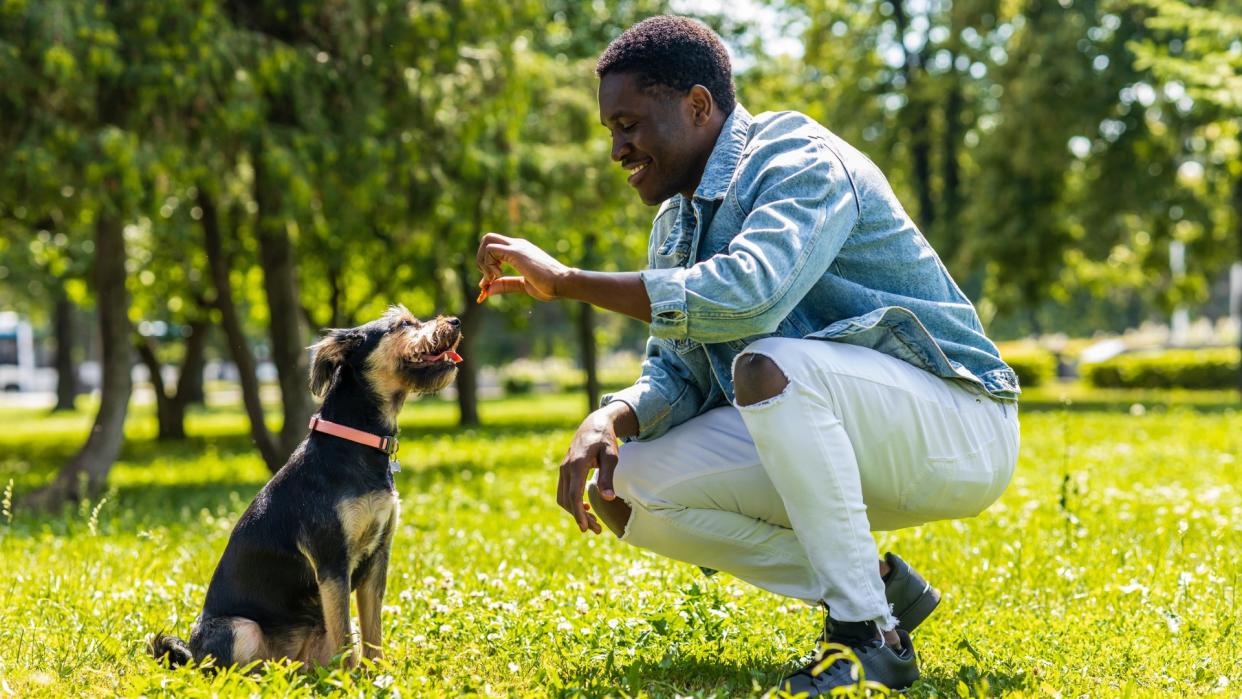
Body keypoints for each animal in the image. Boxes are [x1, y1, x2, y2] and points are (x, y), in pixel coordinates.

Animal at [150, 306, 462, 670]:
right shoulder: (332, 561)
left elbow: (372, 632)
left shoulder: (378, 555)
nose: (455, 322)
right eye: (402, 324)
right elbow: (347, 637)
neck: (357, 441)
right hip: (241, 629)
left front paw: (378, 673)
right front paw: (352, 678)